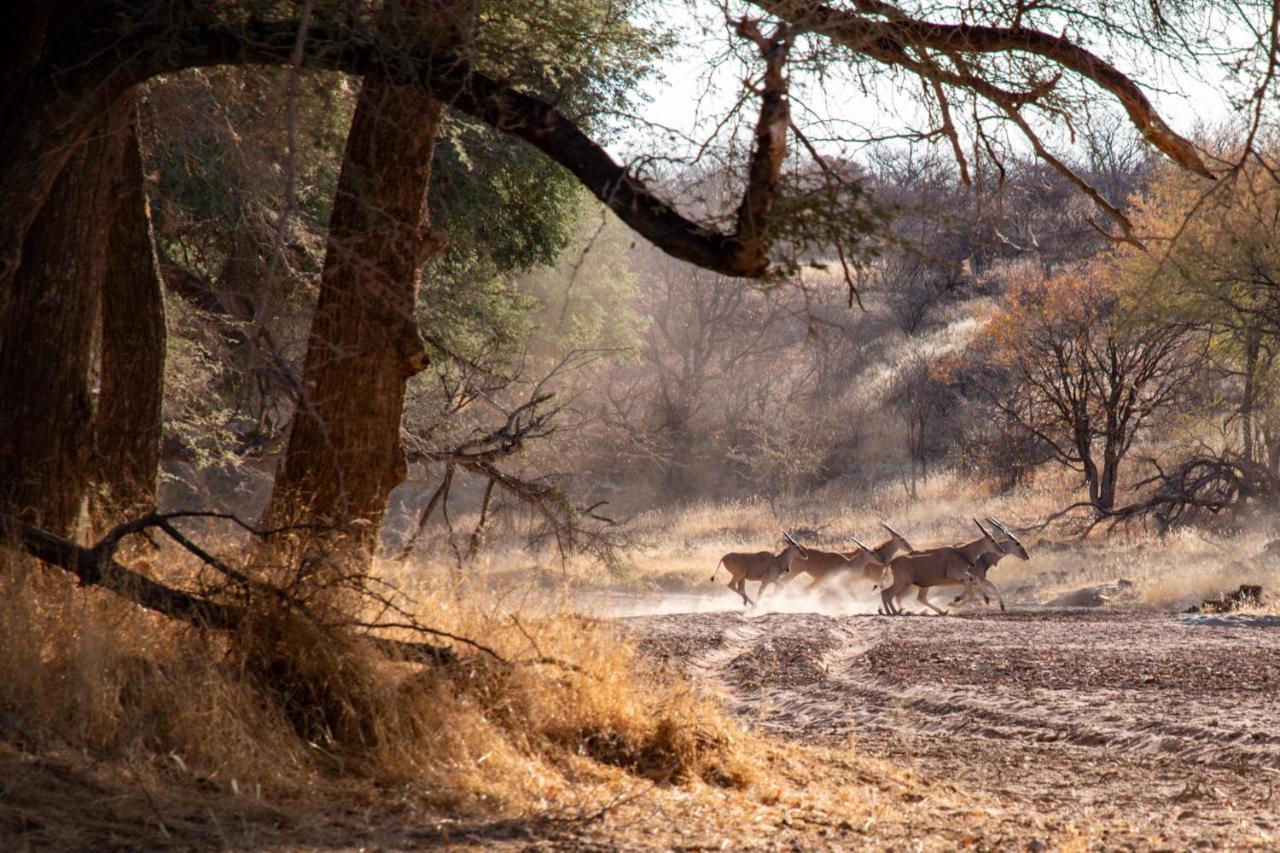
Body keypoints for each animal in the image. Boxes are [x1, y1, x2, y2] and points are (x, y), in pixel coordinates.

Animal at [880, 514, 1029, 614]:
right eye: (1017, 543)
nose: (1026, 556)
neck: (964, 553)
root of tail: (892, 561)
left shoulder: (968, 577)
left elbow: (985, 586)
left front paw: (1000, 605)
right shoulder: (961, 576)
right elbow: (973, 589)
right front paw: (958, 601)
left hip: (920, 584)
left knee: (913, 597)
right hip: (905, 583)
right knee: (890, 594)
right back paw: (895, 612)